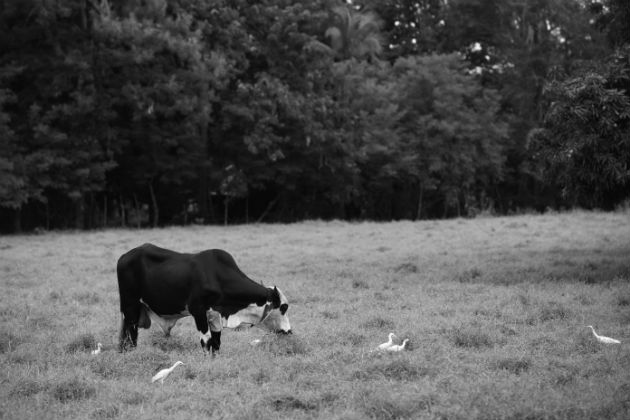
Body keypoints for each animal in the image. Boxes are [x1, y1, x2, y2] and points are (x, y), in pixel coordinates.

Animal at [117, 243, 292, 354]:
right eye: (284, 307)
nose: (289, 332)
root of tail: (124, 256)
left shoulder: (215, 317)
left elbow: (217, 343)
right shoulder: (198, 312)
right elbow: (206, 343)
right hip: (130, 308)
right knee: (130, 338)